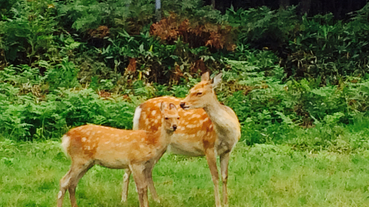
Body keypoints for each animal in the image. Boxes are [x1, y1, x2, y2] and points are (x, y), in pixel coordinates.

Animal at [126, 72, 242, 206]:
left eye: (199, 92)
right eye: (191, 90)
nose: (182, 103)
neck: (226, 132)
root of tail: (139, 108)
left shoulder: (227, 151)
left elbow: (224, 177)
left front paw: (226, 203)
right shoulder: (208, 146)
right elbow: (215, 177)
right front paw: (218, 204)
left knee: (146, 170)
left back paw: (156, 199)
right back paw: (125, 200)